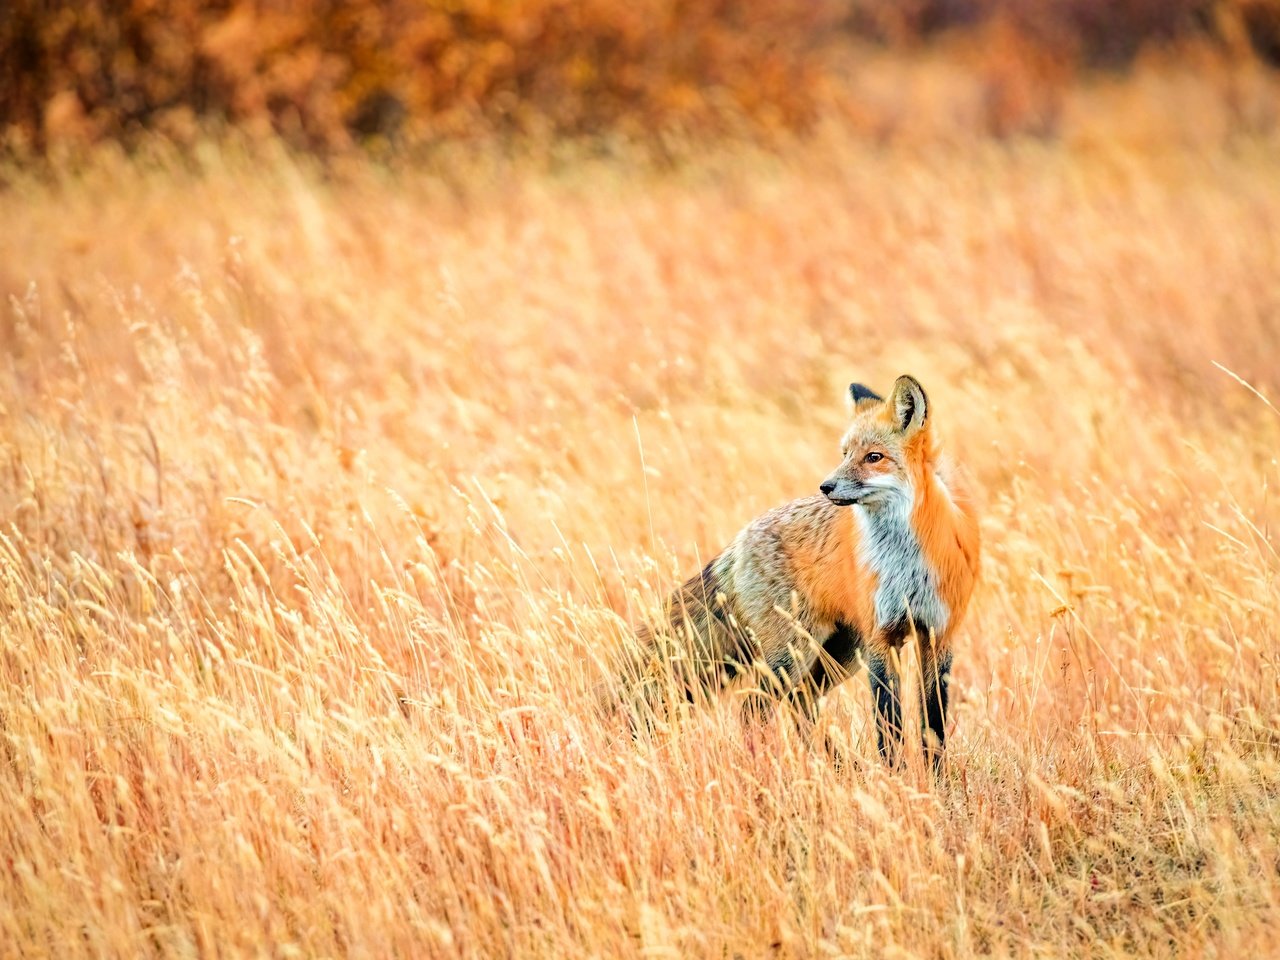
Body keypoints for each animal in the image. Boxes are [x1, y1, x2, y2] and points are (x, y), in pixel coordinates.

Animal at [622, 371, 977, 773]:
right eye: (844, 454)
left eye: (874, 457)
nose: (826, 486)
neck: (906, 565)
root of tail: (739, 540)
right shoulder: (879, 638)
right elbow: (888, 723)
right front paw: (896, 779)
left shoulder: (938, 636)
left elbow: (933, 724)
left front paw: (935, 782)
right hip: (794, 655)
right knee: (753, 708)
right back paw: (768, 768)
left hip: (837, 654)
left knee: (800, 701)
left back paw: (836, 767)